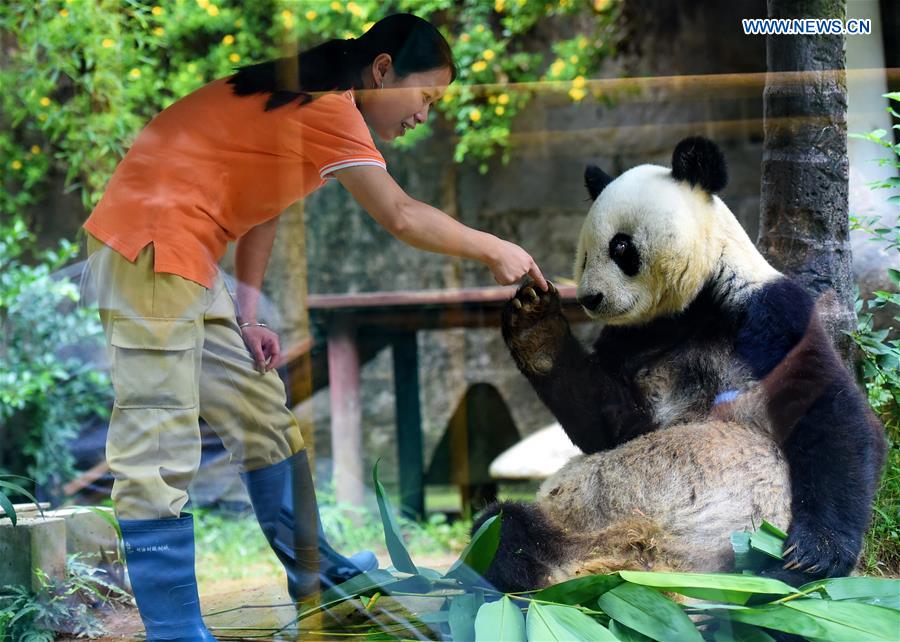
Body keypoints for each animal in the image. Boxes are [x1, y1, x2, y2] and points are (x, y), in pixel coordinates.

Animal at [478, 138, 884, 592]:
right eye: (582, 256)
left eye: (620, 247)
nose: (589, 299)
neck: (694, 306)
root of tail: (637, 563)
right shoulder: (634, 339)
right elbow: (611, 428)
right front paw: (535, 324)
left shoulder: (770, 312)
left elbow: (828, 411)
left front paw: (816, 553)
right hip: (568, 526)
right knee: (500, 528)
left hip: (738, 551)